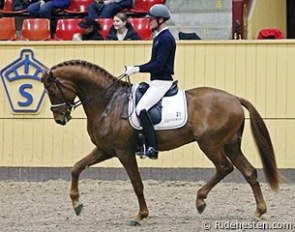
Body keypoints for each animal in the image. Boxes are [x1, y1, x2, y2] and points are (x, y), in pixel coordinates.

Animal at [41, 59, 280, 225]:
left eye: (52, 90)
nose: (60, 119)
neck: (108, 101)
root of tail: (235, 99)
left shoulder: (123, 151)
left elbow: (136, 183)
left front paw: (140, 216)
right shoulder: (105, 149)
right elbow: (76, 167)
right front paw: (77, 204)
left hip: (210, 144)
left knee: (224, 168)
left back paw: (200, 201)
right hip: (230, 145)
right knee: (249, 172)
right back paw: (258, 211)